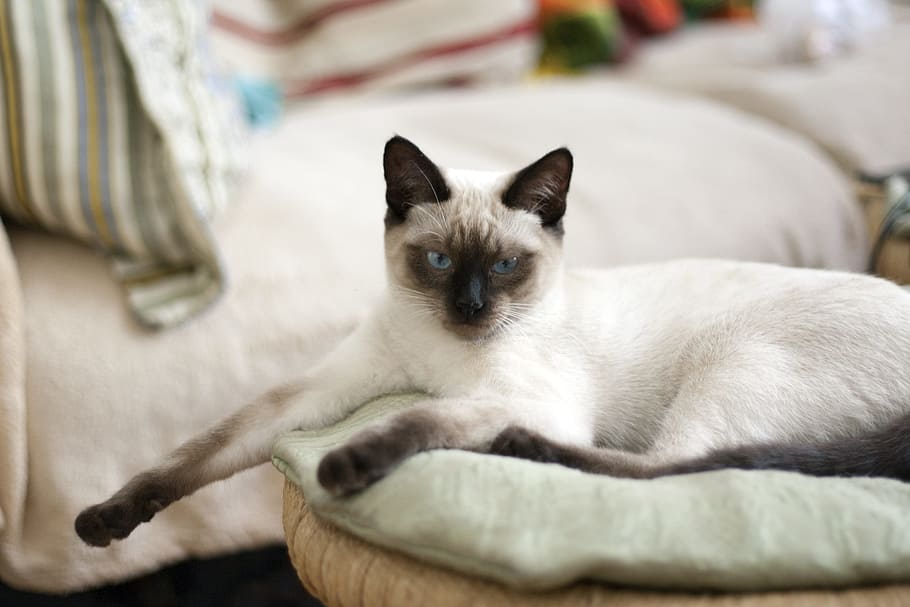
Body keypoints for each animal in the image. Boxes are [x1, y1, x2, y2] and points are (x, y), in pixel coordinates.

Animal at [76, 135, 910, 548]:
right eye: (441, 262)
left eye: (506, 265)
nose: (472, 307)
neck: (436, 349)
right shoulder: (316, 392)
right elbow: (196, 454)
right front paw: (105, 520)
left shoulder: (514, 397)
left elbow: (416, 420)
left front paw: (346, 467)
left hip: (732, 360)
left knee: (682, 466)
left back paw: (522, 450)